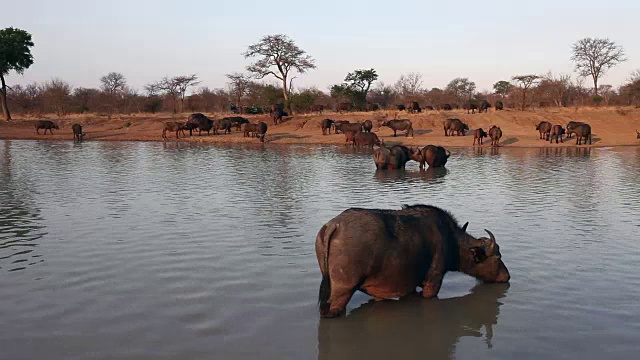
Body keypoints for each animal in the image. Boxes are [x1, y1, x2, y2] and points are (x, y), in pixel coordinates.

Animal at [316, 205, 510, 318]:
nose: (507, 276)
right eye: (498, 258)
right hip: (342, 292)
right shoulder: (433, 282)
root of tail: (334, 225)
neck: (451, 241)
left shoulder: (407, 287)